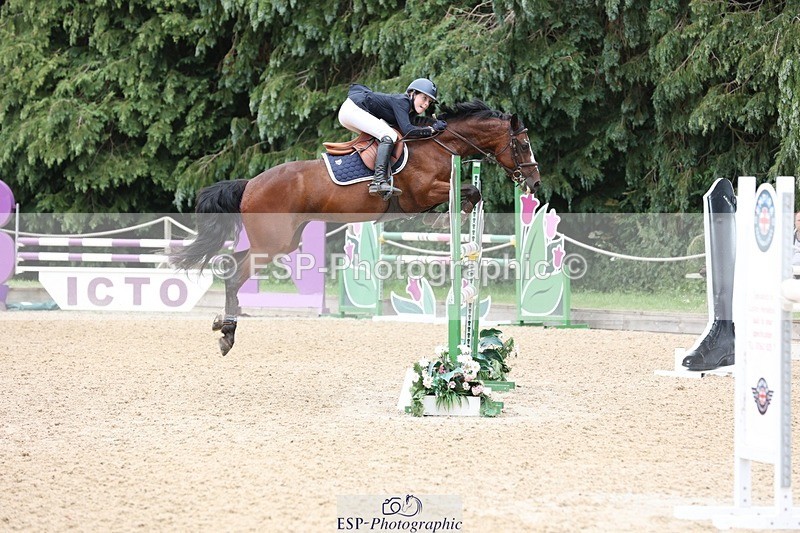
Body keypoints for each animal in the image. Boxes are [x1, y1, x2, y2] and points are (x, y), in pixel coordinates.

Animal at [170, 99, 541, 355]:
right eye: (523, 145)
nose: (535, 183)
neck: (439, 146)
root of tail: (249, 184)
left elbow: (472, 193)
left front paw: (448, 217)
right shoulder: (421, 193)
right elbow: (470, 192)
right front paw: (444, 217)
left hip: (283, 241)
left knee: (232, 265)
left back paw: (222, 324)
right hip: (271, 244)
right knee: (234, 274)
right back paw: (227, 334)